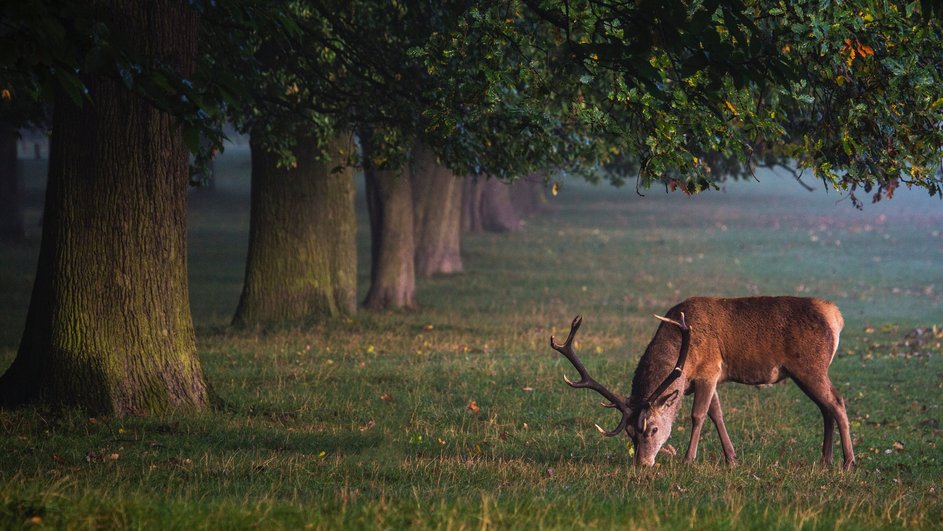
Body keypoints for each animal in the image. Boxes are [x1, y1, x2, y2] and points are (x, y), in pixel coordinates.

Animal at [552, 298, 856, 472]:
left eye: (653, 428)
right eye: (629, 433)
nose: (642, 463)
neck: (685, 359)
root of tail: (836, 317)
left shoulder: (709, 370)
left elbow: (698, 415)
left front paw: (689, 459)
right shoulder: (709, 379)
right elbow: (716, 414)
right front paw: (732, 458)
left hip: (811, 366)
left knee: (837, 402)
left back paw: (848, 461)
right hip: (803, 373)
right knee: (825, 408)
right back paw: (826, 459)